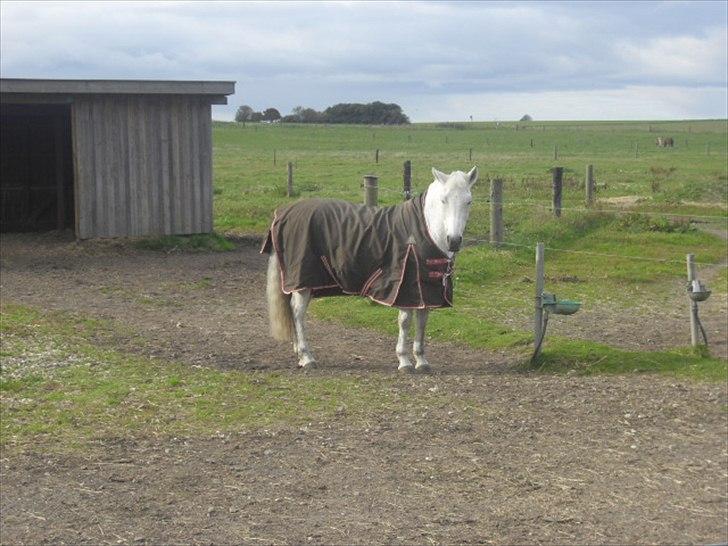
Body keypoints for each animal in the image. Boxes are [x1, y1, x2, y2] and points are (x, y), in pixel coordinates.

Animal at [262, 166, 478, 370]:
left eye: (468, 201)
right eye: (443, 200)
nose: (454, 241)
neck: (423, 231)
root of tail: (284, 213)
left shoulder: (426, 290)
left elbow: (422, 321)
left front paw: (421, 360)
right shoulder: (406, 288)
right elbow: (405, 321)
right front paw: (404, 360)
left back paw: (299, 354)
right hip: (303, 281)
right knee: (298, 312)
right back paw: (307, 357)